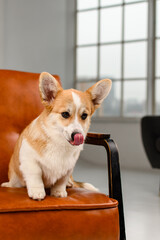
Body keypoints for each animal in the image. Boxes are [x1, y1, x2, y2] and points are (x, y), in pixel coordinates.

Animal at [0, 72, 111, 200]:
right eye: (65, 114)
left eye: (84, 116)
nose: (78, 135)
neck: (59, 142)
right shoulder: (29, 160)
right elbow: (36, 175)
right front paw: (37, 192)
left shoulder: (67, 168)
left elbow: (61, 181)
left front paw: (58, 192)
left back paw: (69, 184)